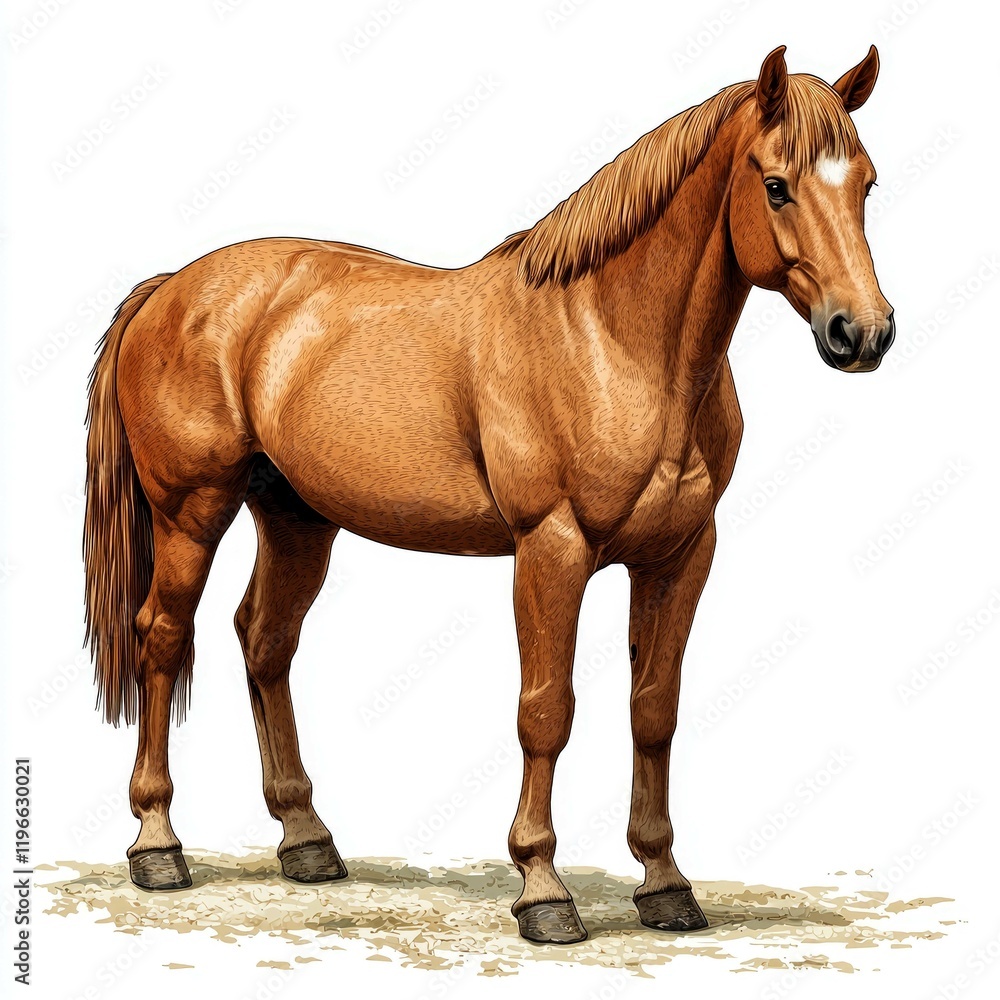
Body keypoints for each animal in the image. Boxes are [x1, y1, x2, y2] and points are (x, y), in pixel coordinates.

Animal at [84, 44, 894, 944]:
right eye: (776, 184)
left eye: (865, 184)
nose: (863, 332)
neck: (610, 339)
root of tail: (171, 288)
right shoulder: (552, 548)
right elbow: (546, 711)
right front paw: (543, 890)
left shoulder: (680, 555)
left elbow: (655, 711)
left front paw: (665, 884)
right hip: (191, 512)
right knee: (163, 638)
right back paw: (158, 845)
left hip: (297, 519)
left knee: (265, 642)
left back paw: (307, 840)